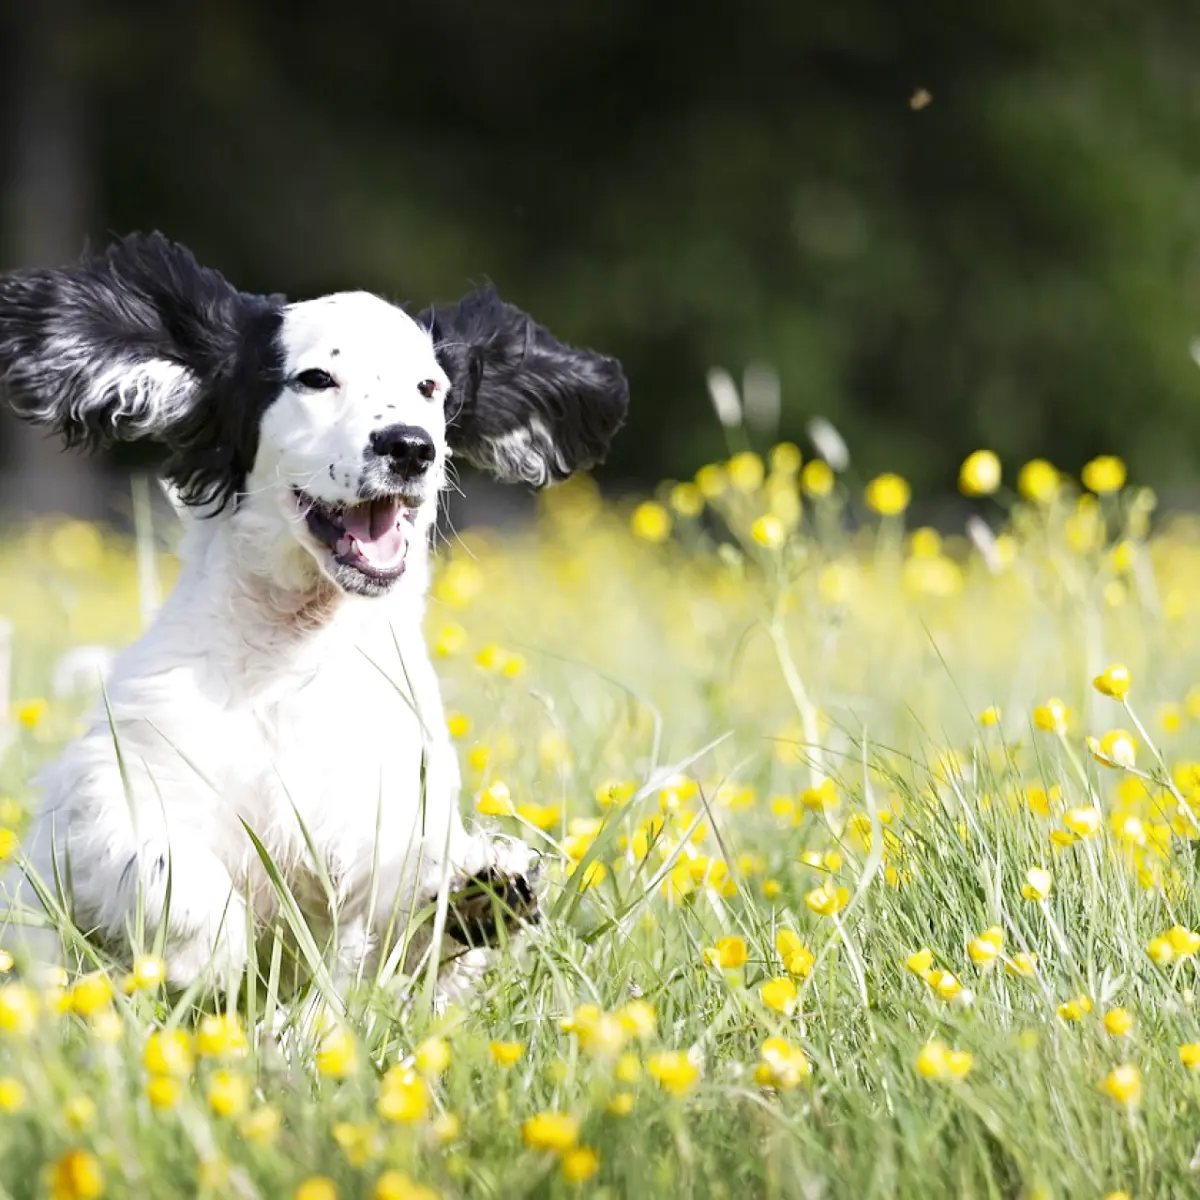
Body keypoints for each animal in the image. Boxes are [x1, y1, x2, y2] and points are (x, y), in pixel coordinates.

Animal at [0, 231, 628, 993]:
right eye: (315, 379)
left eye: (430, 387)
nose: (410, 446)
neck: (295, 656)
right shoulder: (104, 800)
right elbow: (162, 860)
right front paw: (209, 954)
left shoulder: (383, 820)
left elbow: (408, 915)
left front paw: (479, 894)